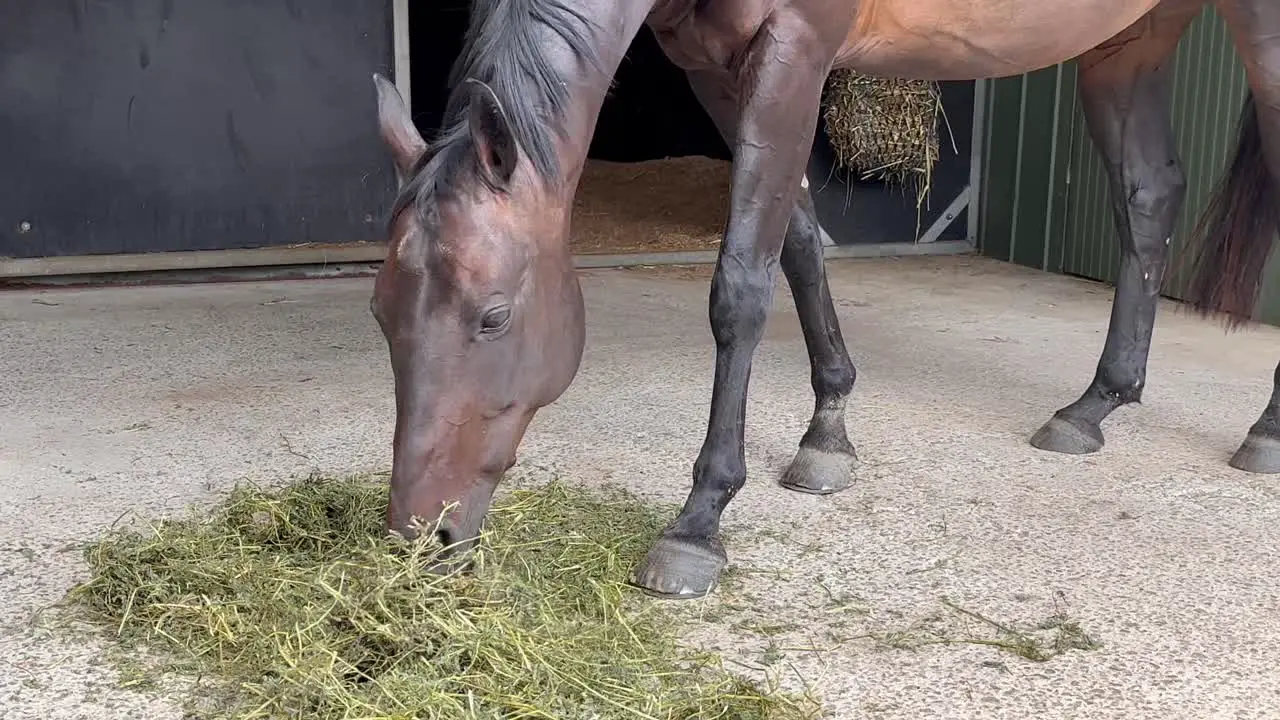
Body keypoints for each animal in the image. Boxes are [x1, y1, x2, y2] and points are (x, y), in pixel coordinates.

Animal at [366, 0, 1280, 597]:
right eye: (380, 314)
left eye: (493, 317)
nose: (418, 536)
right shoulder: (717, 65)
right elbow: (798, 243)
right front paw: (827, 431)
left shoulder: (796, 47)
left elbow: (741, 283)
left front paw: (698, 523)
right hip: (1132, 35)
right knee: (1148, 194)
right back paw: (1095, 405)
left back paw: (1263, 432)